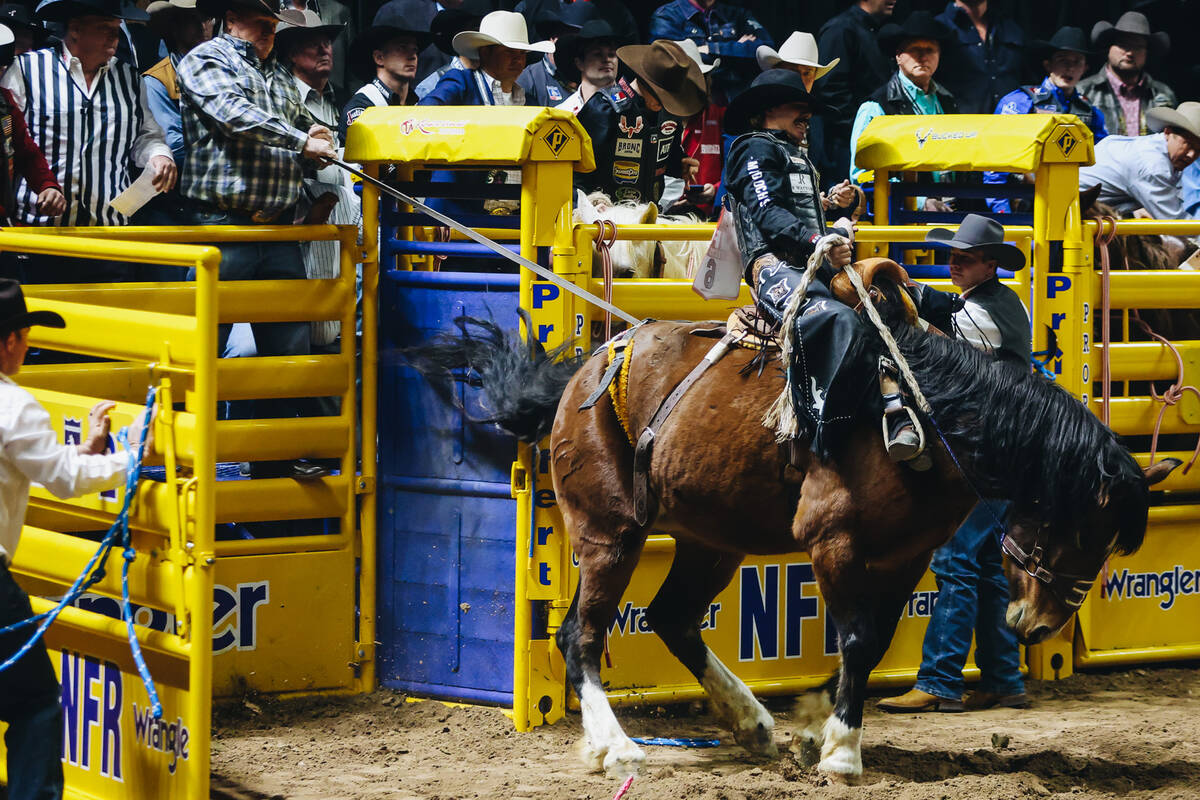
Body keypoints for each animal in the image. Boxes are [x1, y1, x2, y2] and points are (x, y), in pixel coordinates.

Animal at [405, 261, 1180, 782]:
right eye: (1075, 523)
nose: (1040, 626)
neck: (920, 409)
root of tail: (587, 373)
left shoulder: (905, 556)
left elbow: (872, 643)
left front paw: (823, 734)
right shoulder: (832, 542)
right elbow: (858, 640)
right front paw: (840, 752)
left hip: (711, 538)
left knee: (673, 618)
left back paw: (752, 721)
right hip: (610, 533)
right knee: (581, 635)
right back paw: (615, 746)